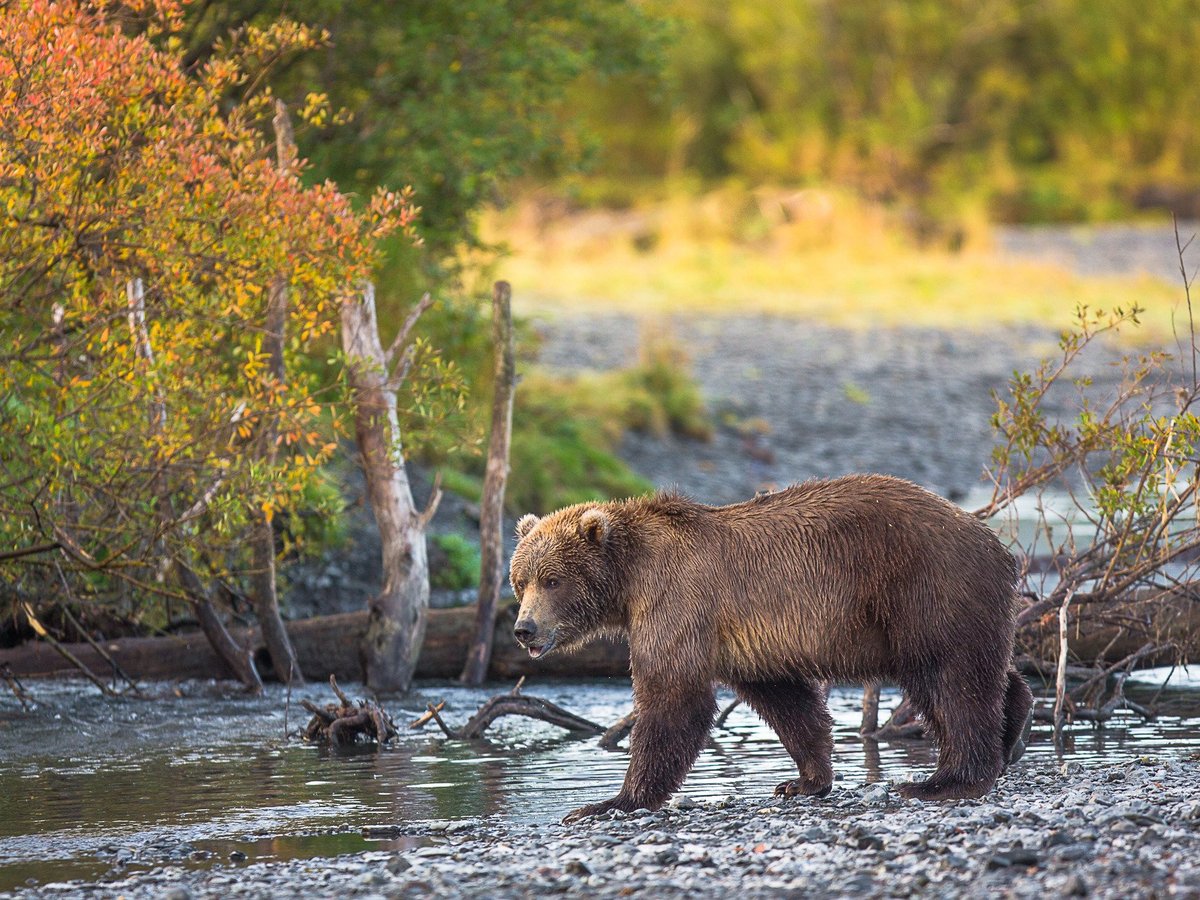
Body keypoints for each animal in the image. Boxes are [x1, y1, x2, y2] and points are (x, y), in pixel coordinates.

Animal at [506, 480, 1032, 825]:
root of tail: (996, 542)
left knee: (948, 678)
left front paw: (607, 802)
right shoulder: (746, 642)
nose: (523, 629)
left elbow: (674, 697)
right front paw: (804, 780)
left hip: (924, 586)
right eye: (520, 580)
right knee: (977, 670)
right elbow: (786, 700)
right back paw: (1013, 729)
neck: (628, 579)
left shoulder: (675, 601)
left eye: (552, 580)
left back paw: (944, 779)